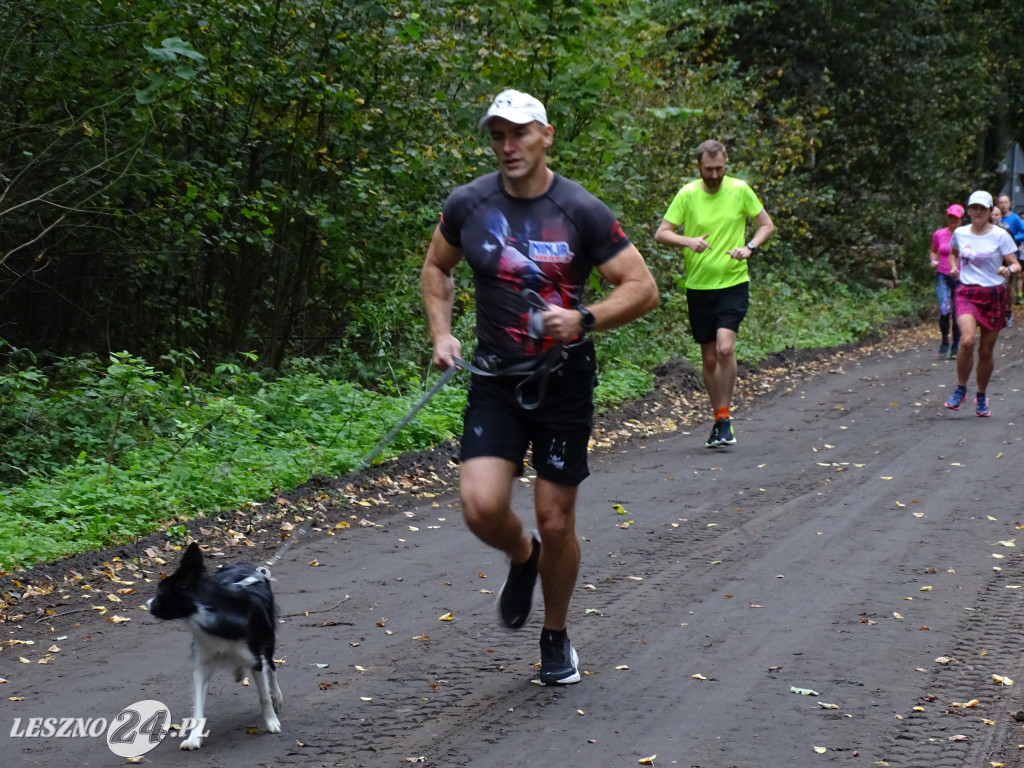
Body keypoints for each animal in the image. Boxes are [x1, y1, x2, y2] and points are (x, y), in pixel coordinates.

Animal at [146, 540, 282, 753]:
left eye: (160, 595)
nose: (147, 604)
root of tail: (249, 567)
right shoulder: (202, 665)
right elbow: (198, 708)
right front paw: (193, 738)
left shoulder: (254, 658)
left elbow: (264, 695)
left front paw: (271, 721)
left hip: (267, 640)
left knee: (271, 667)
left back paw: (276, 695)